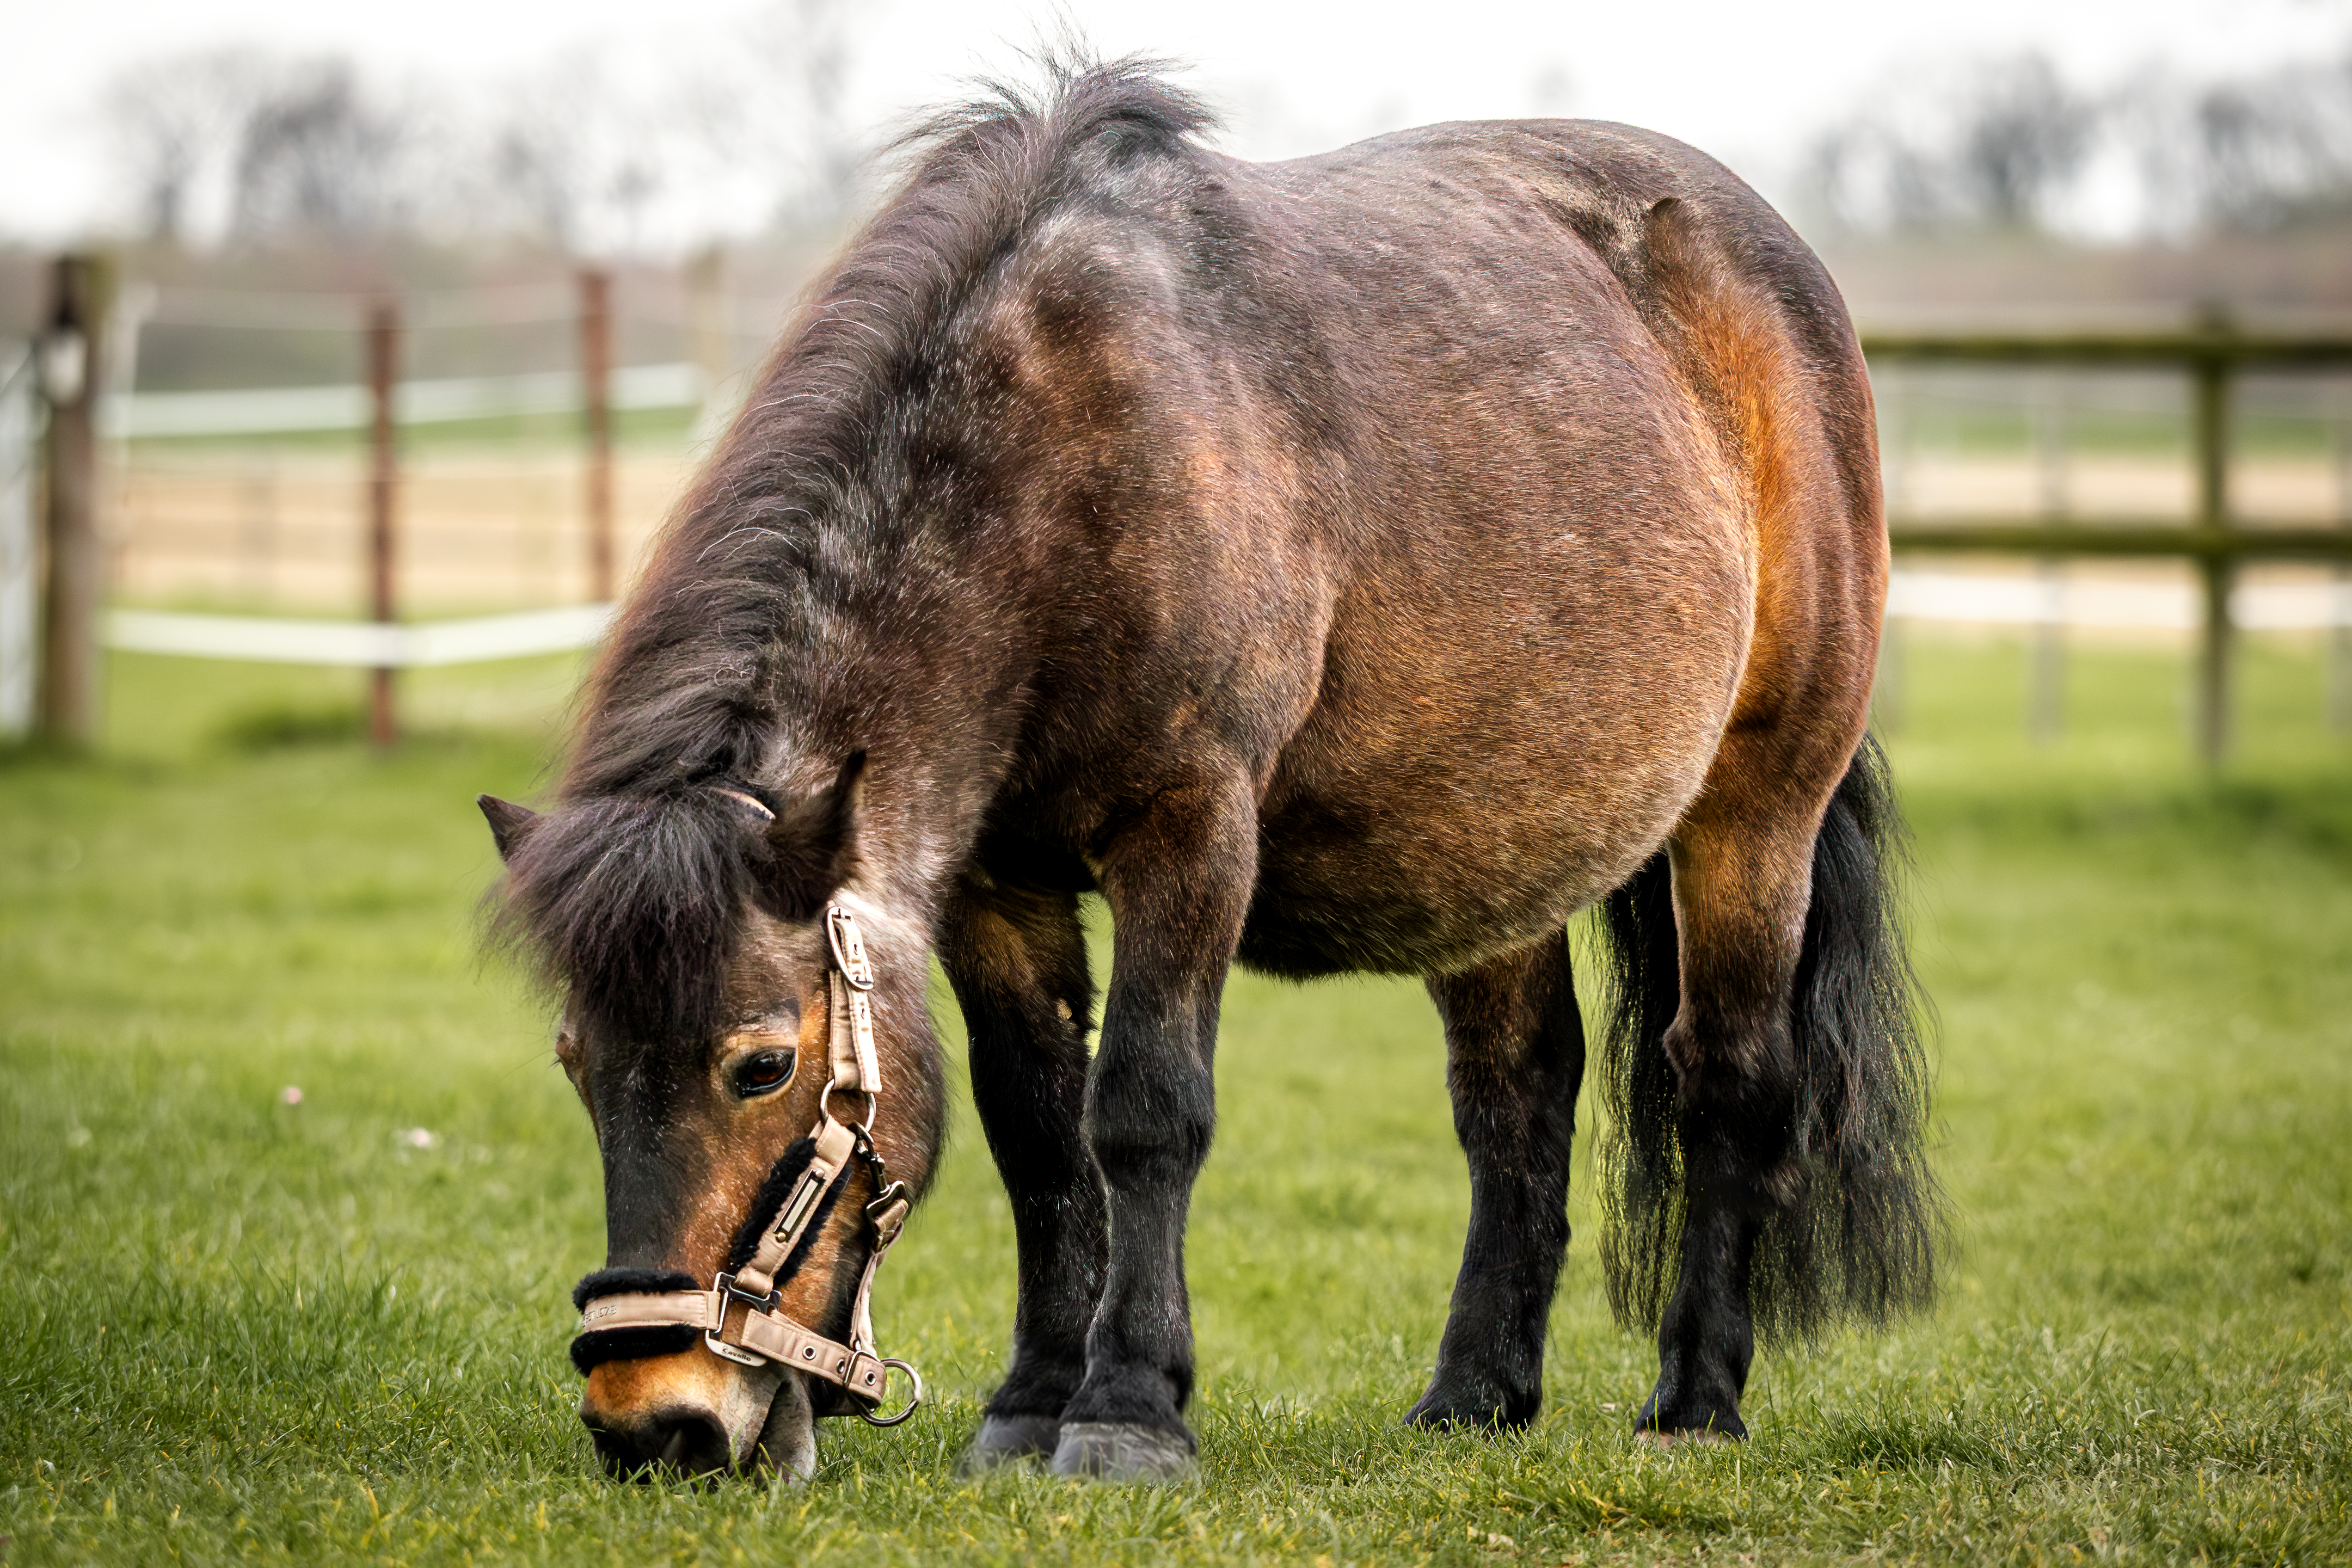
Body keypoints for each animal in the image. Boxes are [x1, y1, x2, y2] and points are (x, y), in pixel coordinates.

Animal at [481, 57, 1940, 1483]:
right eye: (574, 1060)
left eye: (761, 1063)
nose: (652, 1421)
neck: (1069, 455)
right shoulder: (993, 883)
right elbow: (1037, 1130)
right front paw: (1029, 1402)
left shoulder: (1187, 833)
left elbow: (1142, 1111)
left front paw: (1127, 1409)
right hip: (1491, 854)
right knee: (1515, 1097)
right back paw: (1474, 1395)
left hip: (1757, 813)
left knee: (1727, 1076)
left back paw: (1693, 1402)